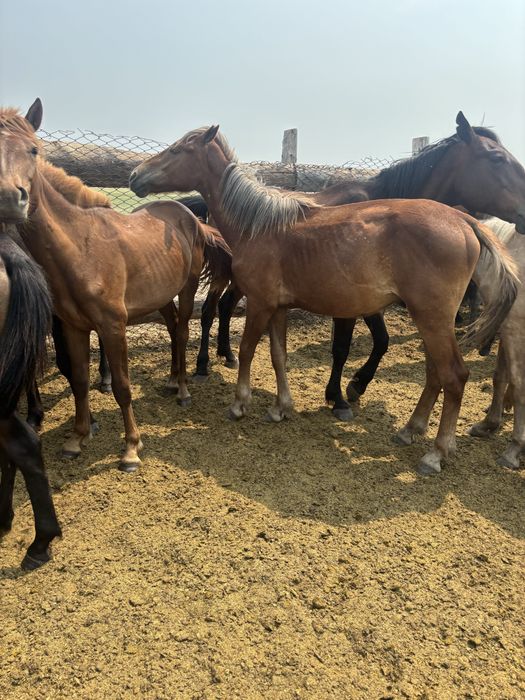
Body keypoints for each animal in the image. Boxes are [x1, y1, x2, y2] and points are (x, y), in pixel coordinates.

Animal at [0, 100, 230, 472]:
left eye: (33, 150)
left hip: (188, 286)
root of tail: (188, 215)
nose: (10, 198)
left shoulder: (112, 326)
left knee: (182, 331)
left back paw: (183, 390)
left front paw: (131, 449)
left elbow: (122, 386)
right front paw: (76, 439)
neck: (81, 246)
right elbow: (79, 380)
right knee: (171, 328)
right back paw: (171, 380)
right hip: (160, 295)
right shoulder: (74, 327)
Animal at [130, 125, 518, 476]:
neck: (260, 225)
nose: (135, 175)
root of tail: (463, 219)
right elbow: (278, 355)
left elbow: (249, 350)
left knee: (454, 375)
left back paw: (435, 453)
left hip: (432, 319)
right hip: (430, 320)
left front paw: (241, 404)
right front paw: (281, 407)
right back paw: (410, 430)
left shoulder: (260, 304)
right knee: (435, 372)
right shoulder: (279, 309)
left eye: (178, 149)